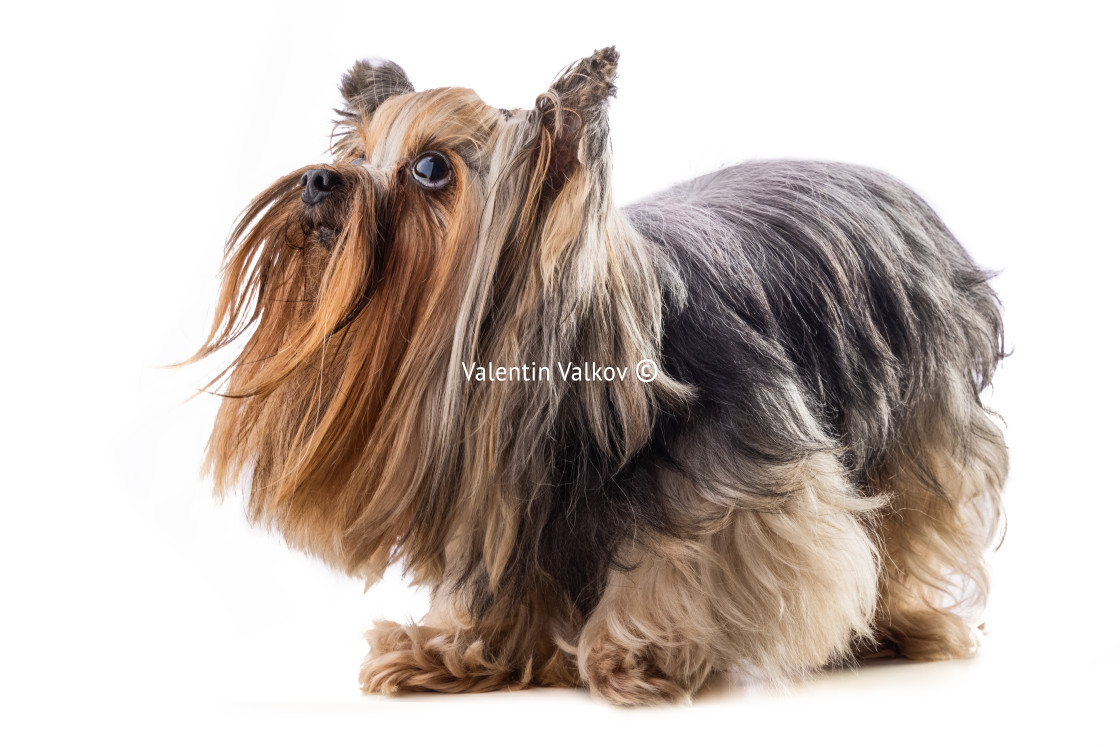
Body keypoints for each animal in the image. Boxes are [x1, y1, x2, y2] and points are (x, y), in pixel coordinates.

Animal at [190, 48, 1008, 707]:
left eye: (430, 168)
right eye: (358, 150)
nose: (320, 180)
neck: (563, 400)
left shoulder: (740, 477)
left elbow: (697, 553)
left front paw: (636, 652)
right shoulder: (500, 497)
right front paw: (455, 652)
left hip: (921, 416)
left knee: (910, 520)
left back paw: (903, 626)